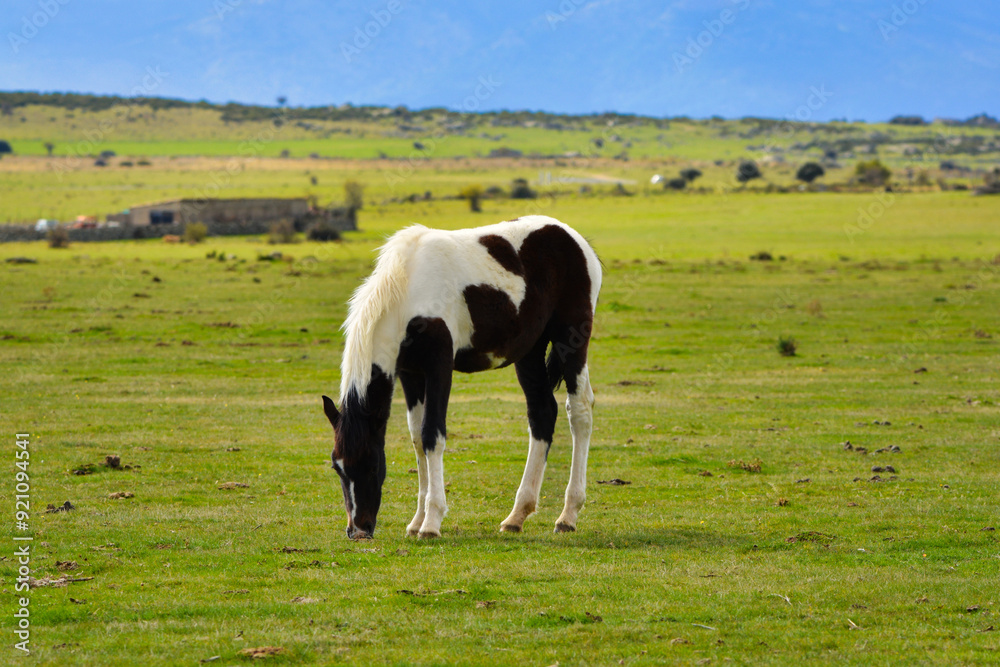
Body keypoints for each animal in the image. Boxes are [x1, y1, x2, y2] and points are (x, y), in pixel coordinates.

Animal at [321, 215, 602, 539]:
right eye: (337, 467)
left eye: (370, 463)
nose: (358, 530)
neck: (408, 285)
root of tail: (573, 238)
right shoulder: (410, 372)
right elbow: (417, 438)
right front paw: (417, 520)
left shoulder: (439, 365)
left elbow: (432, 434)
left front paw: (431, 522)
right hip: (529, 351)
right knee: (542, 412)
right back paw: (516, 516)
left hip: (571, 338)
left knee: (579, 410)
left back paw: (568, 515)